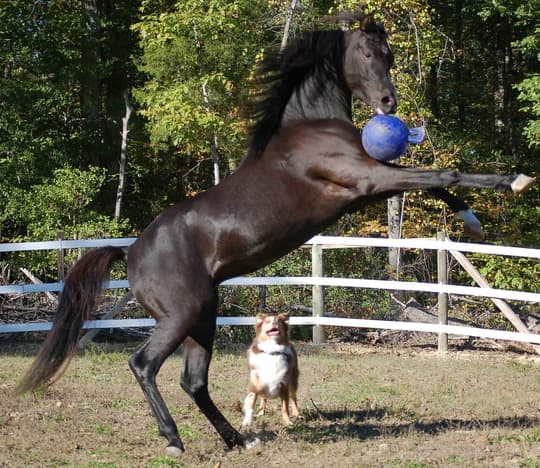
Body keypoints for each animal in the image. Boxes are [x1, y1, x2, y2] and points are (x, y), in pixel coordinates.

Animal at [19, 15, 532, 458]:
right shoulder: (366, 181)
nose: (390, 104)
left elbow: (435, 181)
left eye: (388, 55)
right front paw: (513, 182)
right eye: (367, 53)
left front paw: (472, 219)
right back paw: (174, 440)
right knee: (143, 365)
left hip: (202, 317)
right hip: (180, 316)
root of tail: (130, 252)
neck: (309, 127)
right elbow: (443, 172)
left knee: (194, 381)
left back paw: (238, 440)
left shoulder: (368, 187)